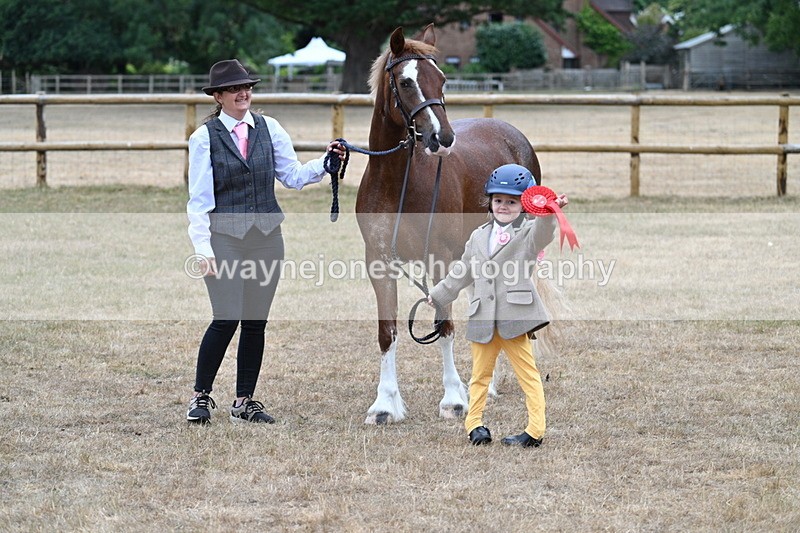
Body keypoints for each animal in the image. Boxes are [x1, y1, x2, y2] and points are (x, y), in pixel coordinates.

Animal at [355, 24, 542, 424]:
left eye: (441, 80)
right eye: (406, 81)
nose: (442, 137)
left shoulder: (439, 259)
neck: (397, 181)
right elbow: (387, 332)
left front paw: (454, 399)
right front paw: (385, 404)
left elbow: (444, 325)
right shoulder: (379, 262)